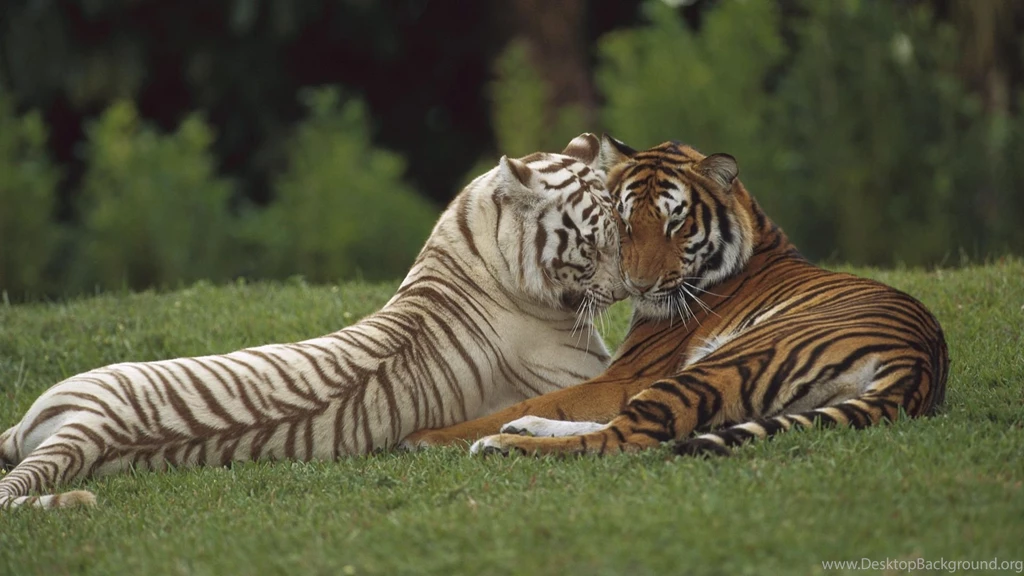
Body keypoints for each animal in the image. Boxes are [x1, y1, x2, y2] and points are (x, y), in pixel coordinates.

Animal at [0, 133, 626, 509]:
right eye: (593, 243)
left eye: (623, 230)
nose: (628, 288)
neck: (475, 241)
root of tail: (91, 426)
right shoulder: (588, 374)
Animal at [402, 136, 949, 457]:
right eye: (624, 222)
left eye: (675, 223)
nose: (637, 286)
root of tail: (919, 363)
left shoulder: (628, 375)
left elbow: (546, 399)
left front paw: (429, 436)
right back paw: (518, 432)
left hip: (722, 363)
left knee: (625, 436)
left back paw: (498, 443)